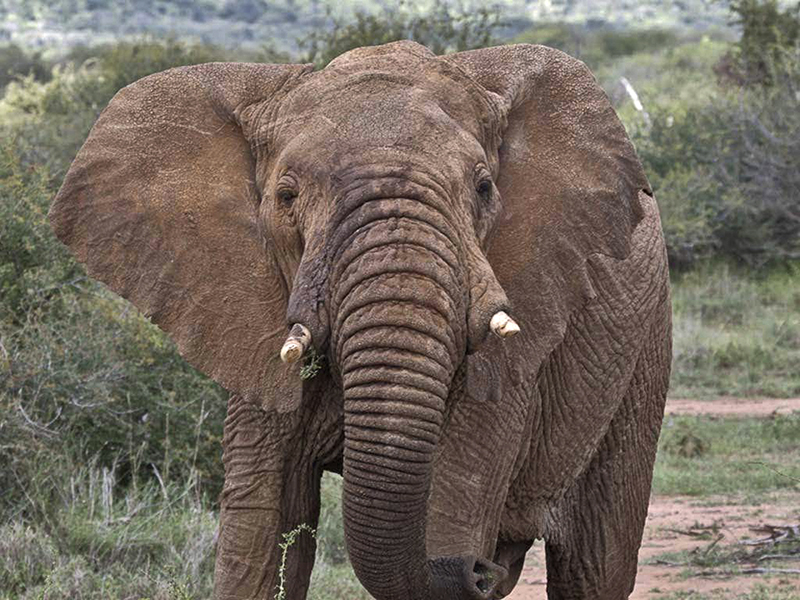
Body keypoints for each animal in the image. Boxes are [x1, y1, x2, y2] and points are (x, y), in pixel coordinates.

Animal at [50, 42, 672, 600]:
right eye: (286, 196)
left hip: (644, 349)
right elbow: (258, 534)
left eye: (483, 187)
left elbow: (452, 504)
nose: (476, 572)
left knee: (597, 562)